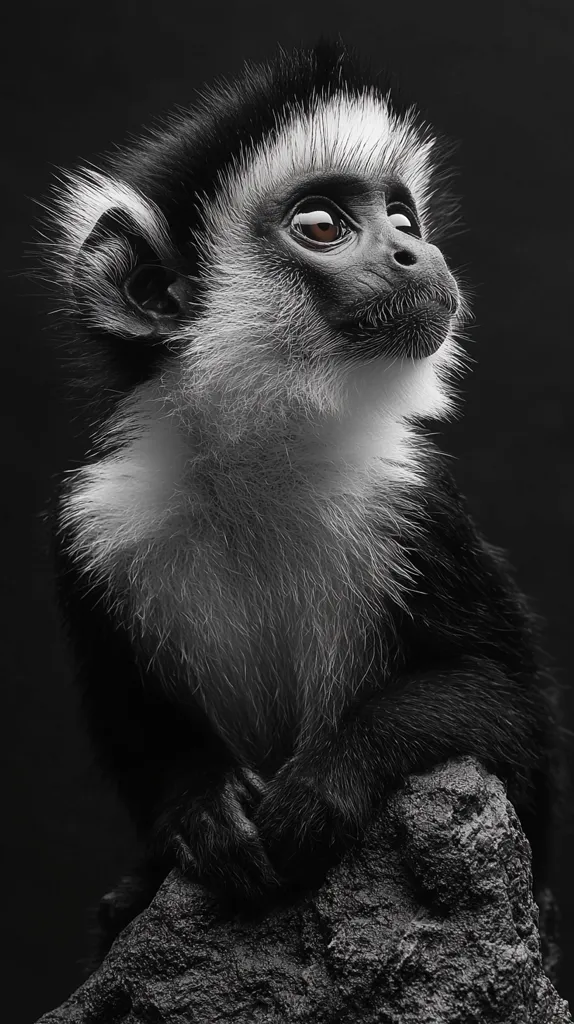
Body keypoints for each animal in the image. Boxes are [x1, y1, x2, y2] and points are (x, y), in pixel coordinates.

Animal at [44, 41, 559, 957]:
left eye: (403, 220)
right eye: (322, 226)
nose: (417, 255)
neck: (255, 452)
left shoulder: (415, 503)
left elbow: (510, 714)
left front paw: (331, 776)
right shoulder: (91, 526)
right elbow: (142, 744)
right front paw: (200, 804)